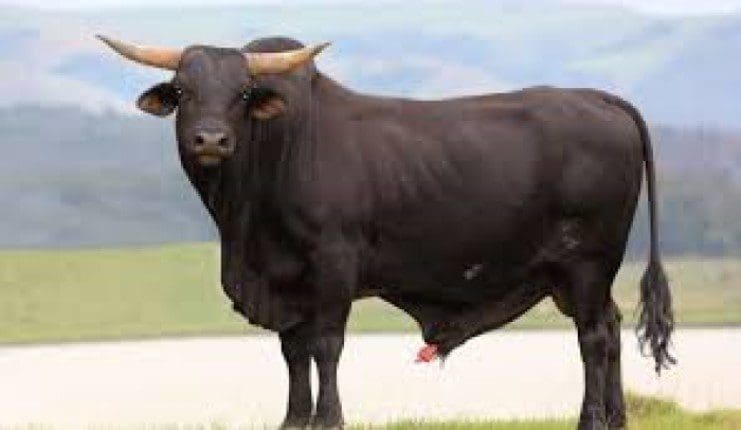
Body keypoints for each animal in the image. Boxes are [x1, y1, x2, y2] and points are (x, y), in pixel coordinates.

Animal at [99, 34, 674, 430]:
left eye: (242, 93)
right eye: (183, 90)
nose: (211, 140)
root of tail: (601, 99)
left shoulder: (333, 264)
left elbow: (326, 346)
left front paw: (330, 419)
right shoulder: (286, 282)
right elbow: (293, 353)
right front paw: (294, 420)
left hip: (588, 261)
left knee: (594, 337)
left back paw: (592, 419)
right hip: (572, 276)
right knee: (611, 325)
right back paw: (618, 418)